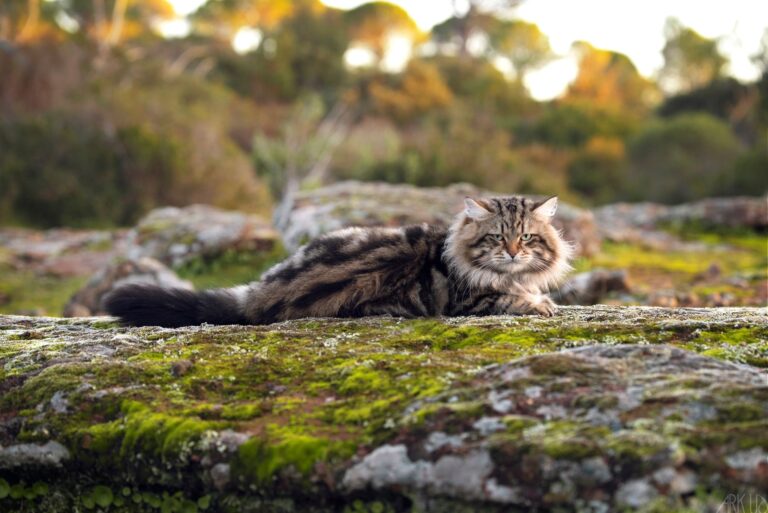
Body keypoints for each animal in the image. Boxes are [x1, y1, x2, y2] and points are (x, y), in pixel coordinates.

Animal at [109, 194, 576, 326]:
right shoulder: (471, 301)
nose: (512, 252)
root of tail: (258, 297)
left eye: (526, 238)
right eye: (497, 237)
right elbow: (515, 299)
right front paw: (541, 304)